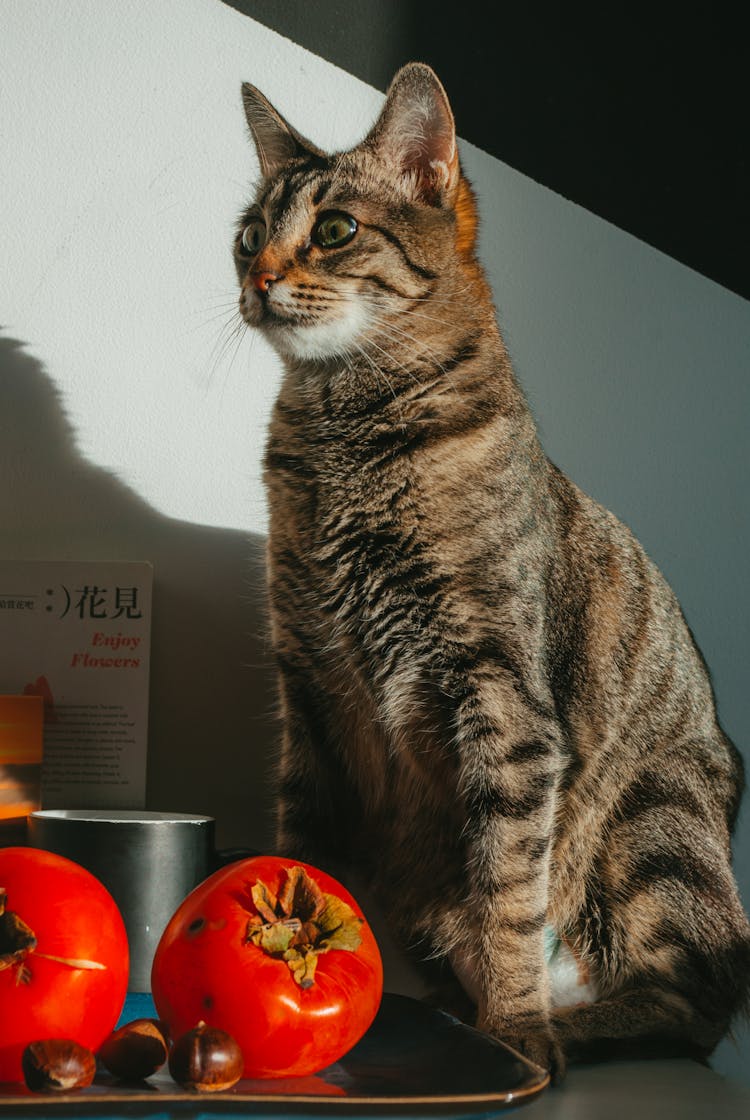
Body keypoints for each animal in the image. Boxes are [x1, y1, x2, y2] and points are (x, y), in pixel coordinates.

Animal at [236, 63, 750, 1075]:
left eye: (334, 229)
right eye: (245, 235)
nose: (257, 277)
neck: (344, 444)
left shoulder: (503, 700)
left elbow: (506, 888)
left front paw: (513, 1027)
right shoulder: (310, 689)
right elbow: (302, 852)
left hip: (653, 826)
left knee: (693, 1008)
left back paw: (560, 1028)